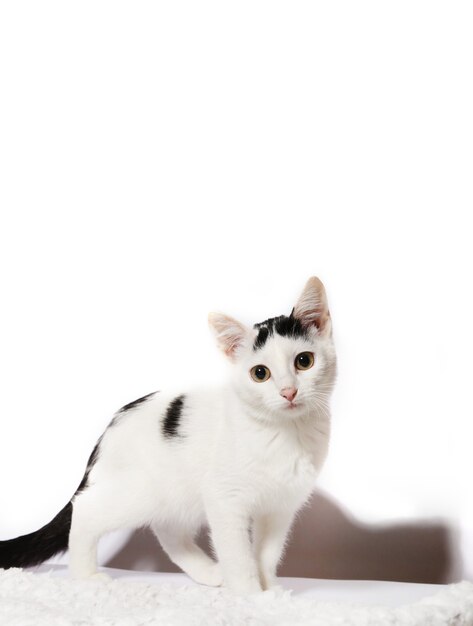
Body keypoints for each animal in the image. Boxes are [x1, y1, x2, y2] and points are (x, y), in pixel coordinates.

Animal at [0, 276, 336, 592]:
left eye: (304, 361)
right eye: (260, 373)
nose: (288, 392)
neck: (286, 432)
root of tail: (109, 429)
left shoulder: (280, 507)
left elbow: (266, 554)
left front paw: (270, 593)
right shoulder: (225, 499)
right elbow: (239, 555)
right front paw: (249, 595)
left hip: (176, 495)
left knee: (168, 532)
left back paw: (209, 573)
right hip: (138, 492)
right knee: (85, 509)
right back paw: (86, 576)